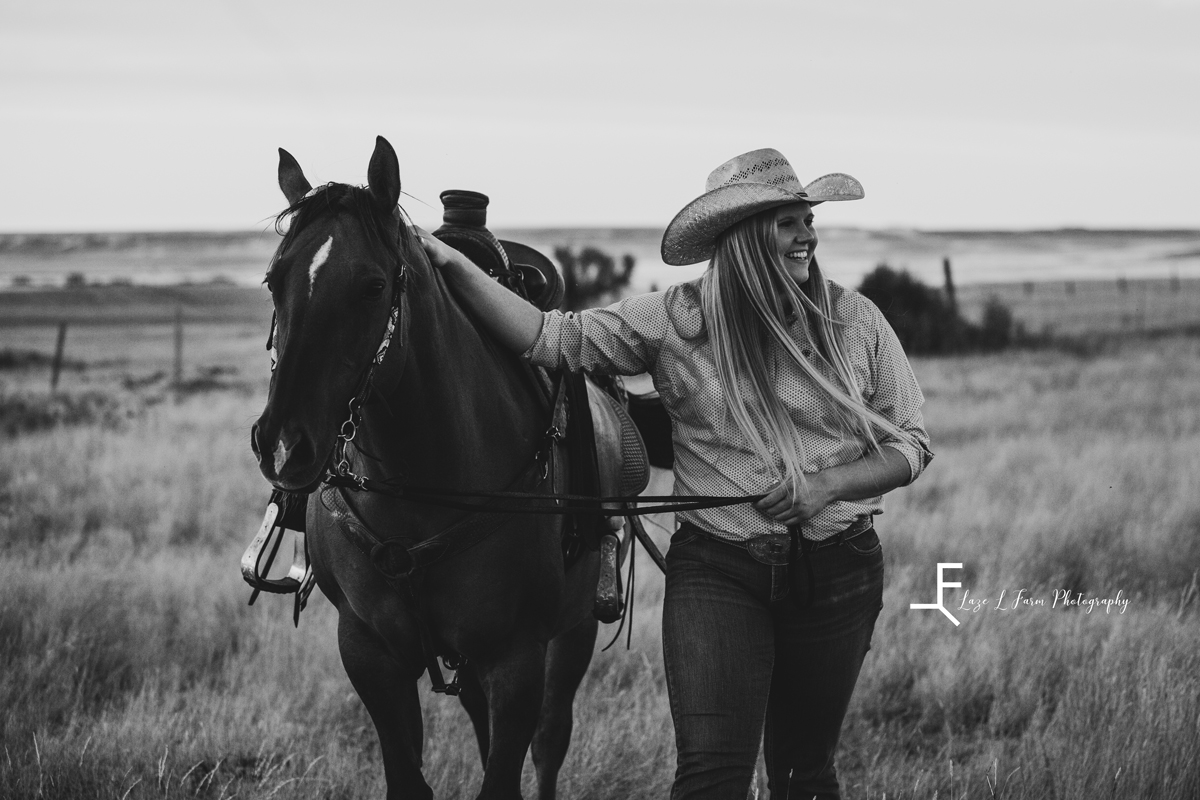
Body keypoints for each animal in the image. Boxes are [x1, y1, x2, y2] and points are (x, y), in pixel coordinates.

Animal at [254, 137, 624, 800]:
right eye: (274, 280)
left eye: (373, 286)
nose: (283, 446)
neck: (418, 490)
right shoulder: (368, 652)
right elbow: (409, 777)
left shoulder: (517, 658)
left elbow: (508, 773)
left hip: (575, 629)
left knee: (551, 740)